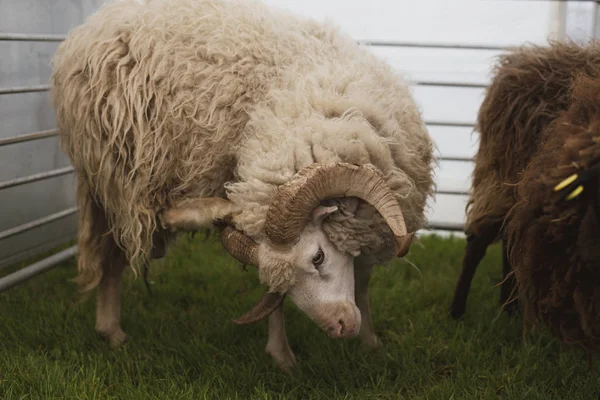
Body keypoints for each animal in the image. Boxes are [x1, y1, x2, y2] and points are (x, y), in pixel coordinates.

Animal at [448, 41, 600, 318]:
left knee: (511, 236)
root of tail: (514, 63)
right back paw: (457, 312)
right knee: (480, 241)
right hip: (501, 177)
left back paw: (509, 306)